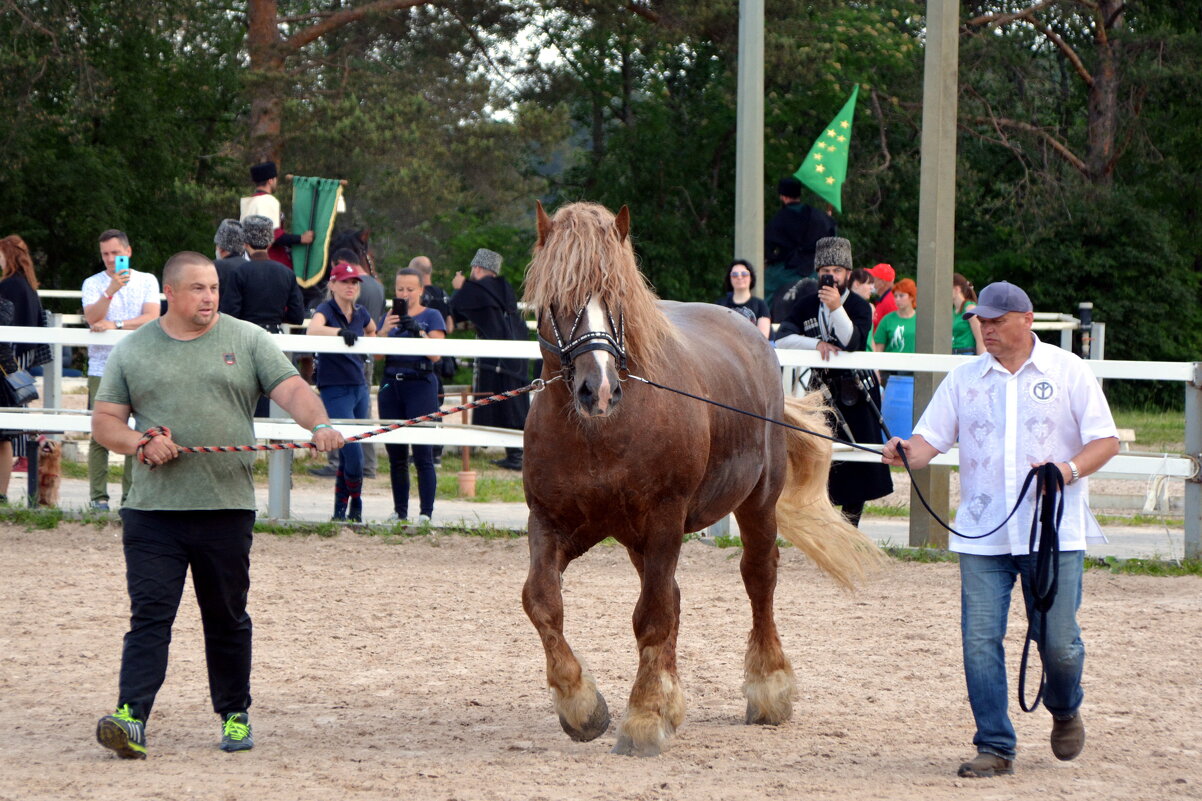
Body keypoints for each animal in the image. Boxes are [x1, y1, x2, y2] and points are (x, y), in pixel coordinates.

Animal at [519, 200, 884, 755]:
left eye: (617, 295)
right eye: (557, 298)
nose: (597, 390)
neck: (599, 435)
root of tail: (749, 330)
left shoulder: (664, 520)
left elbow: (651, 617)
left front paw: (645, 716)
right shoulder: (553, 523)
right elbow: (543, 602)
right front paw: (582, 705)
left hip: (755, 504)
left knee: (758, 579)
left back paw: (768, 688)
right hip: (641, 540)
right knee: (671, 595)